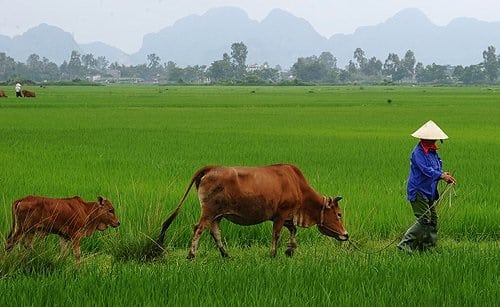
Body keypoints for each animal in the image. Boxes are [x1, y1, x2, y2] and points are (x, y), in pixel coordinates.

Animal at [158, 164, 350, 260]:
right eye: (339, 214)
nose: (346, 235)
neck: (297, 185)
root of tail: (210, 168)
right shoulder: (280, 215)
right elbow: (276, 235)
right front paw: (273, 254)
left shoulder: (287, 217)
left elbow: (293, 230)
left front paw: (290, 250)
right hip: (209, 211)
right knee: (198, 228)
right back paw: (191, 255)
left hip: (217, 215)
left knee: (215, 232)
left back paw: (226, 255)